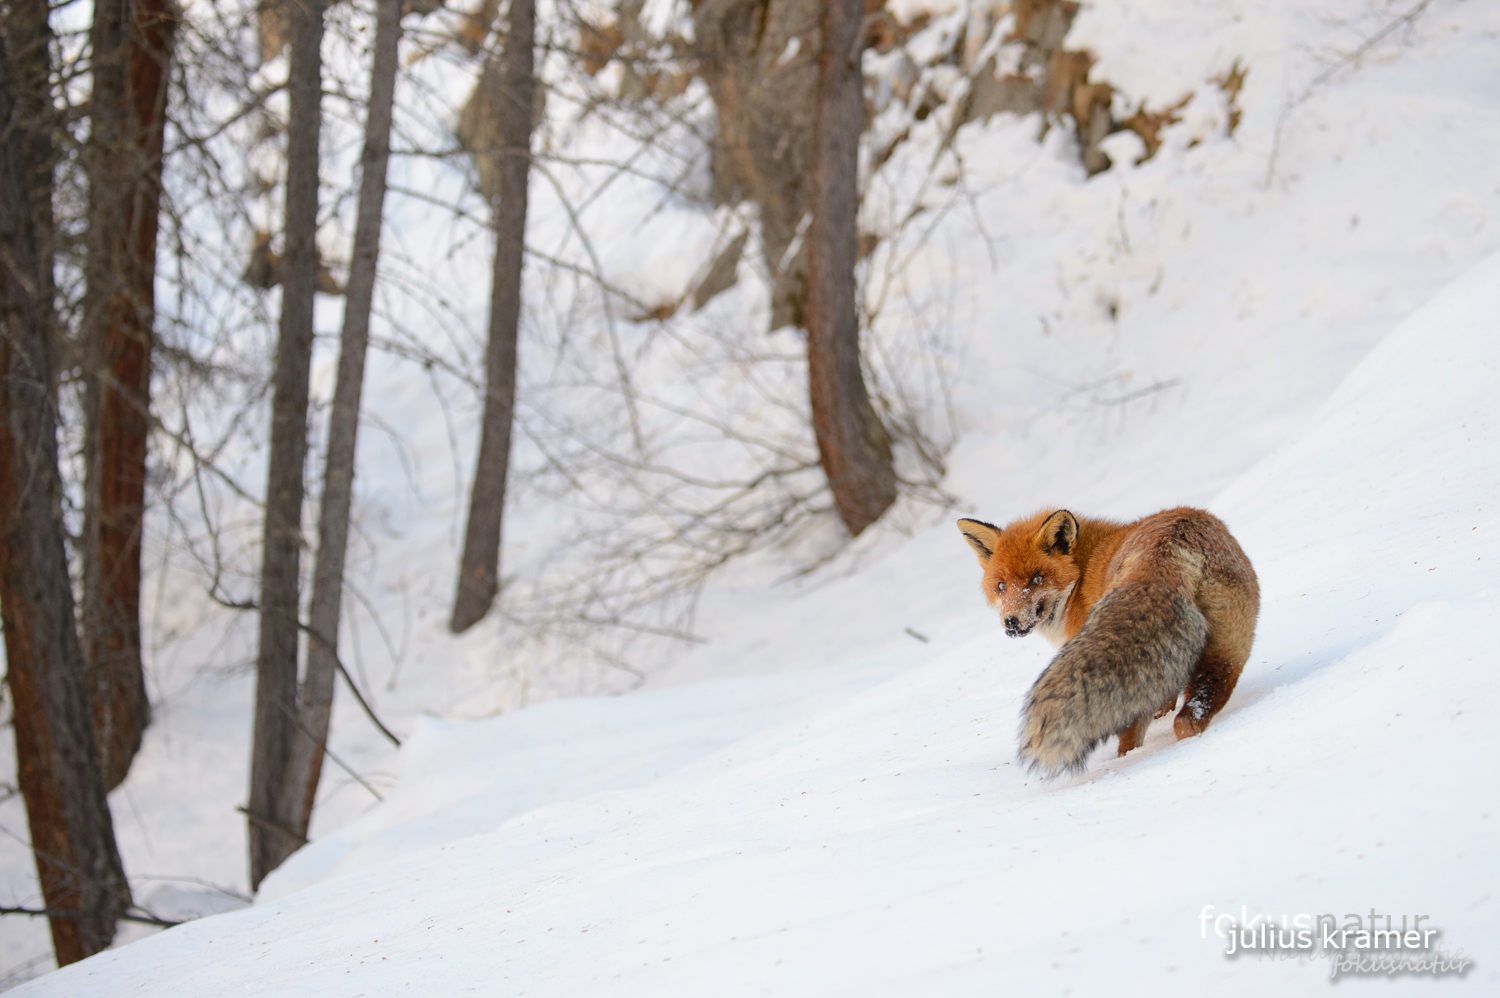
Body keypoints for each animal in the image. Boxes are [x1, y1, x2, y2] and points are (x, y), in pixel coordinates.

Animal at [954, 507, 1260, 768]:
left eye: (1036, 579)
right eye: (1001, 586)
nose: (1011, 622)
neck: (1080, 576)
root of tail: (1171, 548)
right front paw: (1164, 711)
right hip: (1228, 652)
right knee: (1191, 717)